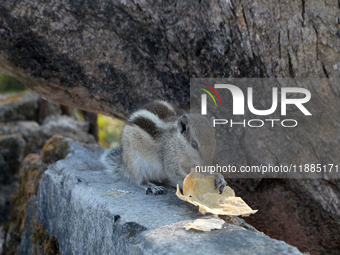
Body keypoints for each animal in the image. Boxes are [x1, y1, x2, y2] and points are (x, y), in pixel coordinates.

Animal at [99, 100, 227, 195]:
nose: (208, 165)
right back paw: (152, 186)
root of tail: (124, 162)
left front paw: (219, 177)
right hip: (135, 162)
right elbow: (173, 172)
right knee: (140, 180)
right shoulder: (169, 155)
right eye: (194, 144)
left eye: (214, 142)